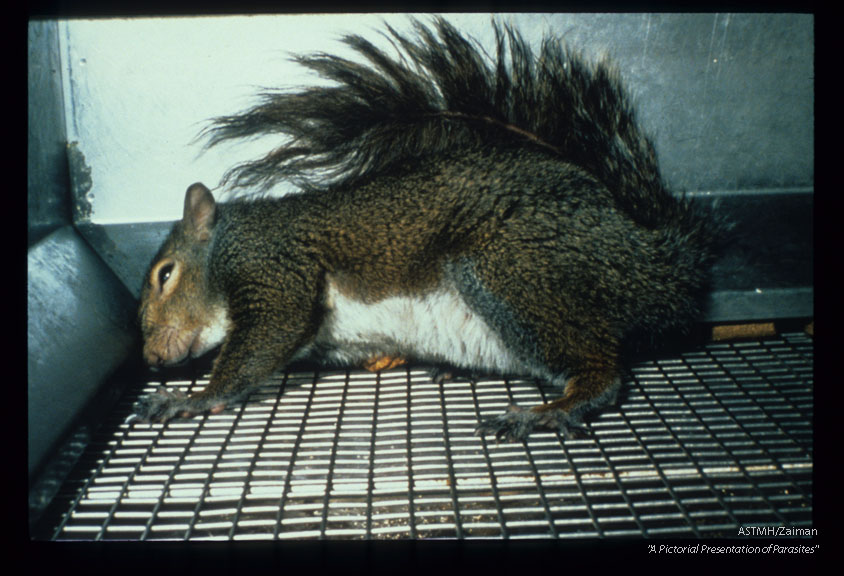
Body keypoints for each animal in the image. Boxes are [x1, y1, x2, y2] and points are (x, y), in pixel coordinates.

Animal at [135, 18, 724, 440]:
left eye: (165, 274)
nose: (152, 360)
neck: (228, 243)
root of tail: (650, 256)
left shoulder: (272, 265)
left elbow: (265, 337)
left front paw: (189, 398)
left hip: (510, 268)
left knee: (603, 370)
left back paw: (550, 411)